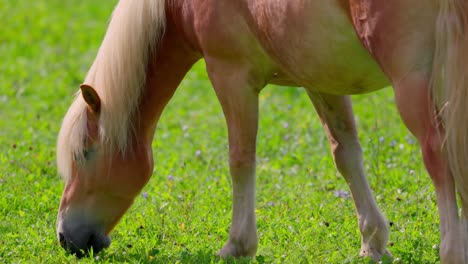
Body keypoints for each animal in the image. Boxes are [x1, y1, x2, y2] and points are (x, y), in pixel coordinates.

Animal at [55, 0, 468, 262]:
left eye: (85, 153)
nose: (64, 237)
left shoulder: (231, 75)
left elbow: (240, 160)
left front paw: (237, 246)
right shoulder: (322, 80)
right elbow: (346, 154)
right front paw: (373, 244)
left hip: (411, 84)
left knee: (438, 156)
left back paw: (451, 251)